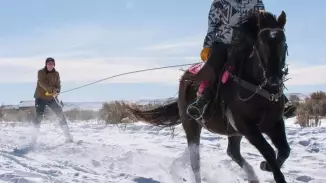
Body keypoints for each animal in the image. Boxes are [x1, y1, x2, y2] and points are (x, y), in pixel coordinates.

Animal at [125, 10, 290, 182]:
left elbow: (284, 150)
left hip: (232, 132)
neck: (258, 89)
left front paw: (265, 166)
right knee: (195, 161)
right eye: (261, 44)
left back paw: (252, 176)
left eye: (283, 43)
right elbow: (269, 151)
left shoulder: (274, 123)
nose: (274, 78)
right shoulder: (247, 126)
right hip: (191, 125)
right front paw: (270, 168)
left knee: (233, 152)